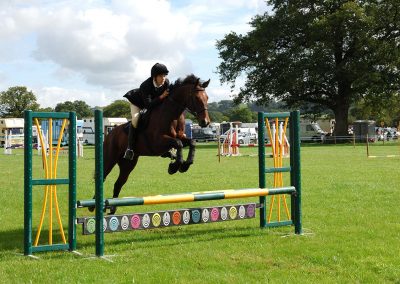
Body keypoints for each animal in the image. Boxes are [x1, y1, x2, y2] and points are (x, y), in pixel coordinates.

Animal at [89, 74, 211, 214]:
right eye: (196, 98)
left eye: (207, 98)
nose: (205, 122)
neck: (172, 114)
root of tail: (109, 133)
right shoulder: (158, 142)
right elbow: (178, 143)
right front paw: (175, 166)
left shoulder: (181, 137)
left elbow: (191, 142)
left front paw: (185, 164)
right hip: (109, 159)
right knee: (102, 177)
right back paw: (93, 205)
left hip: (128, 164)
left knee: (119, 183)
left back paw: (113, 208)